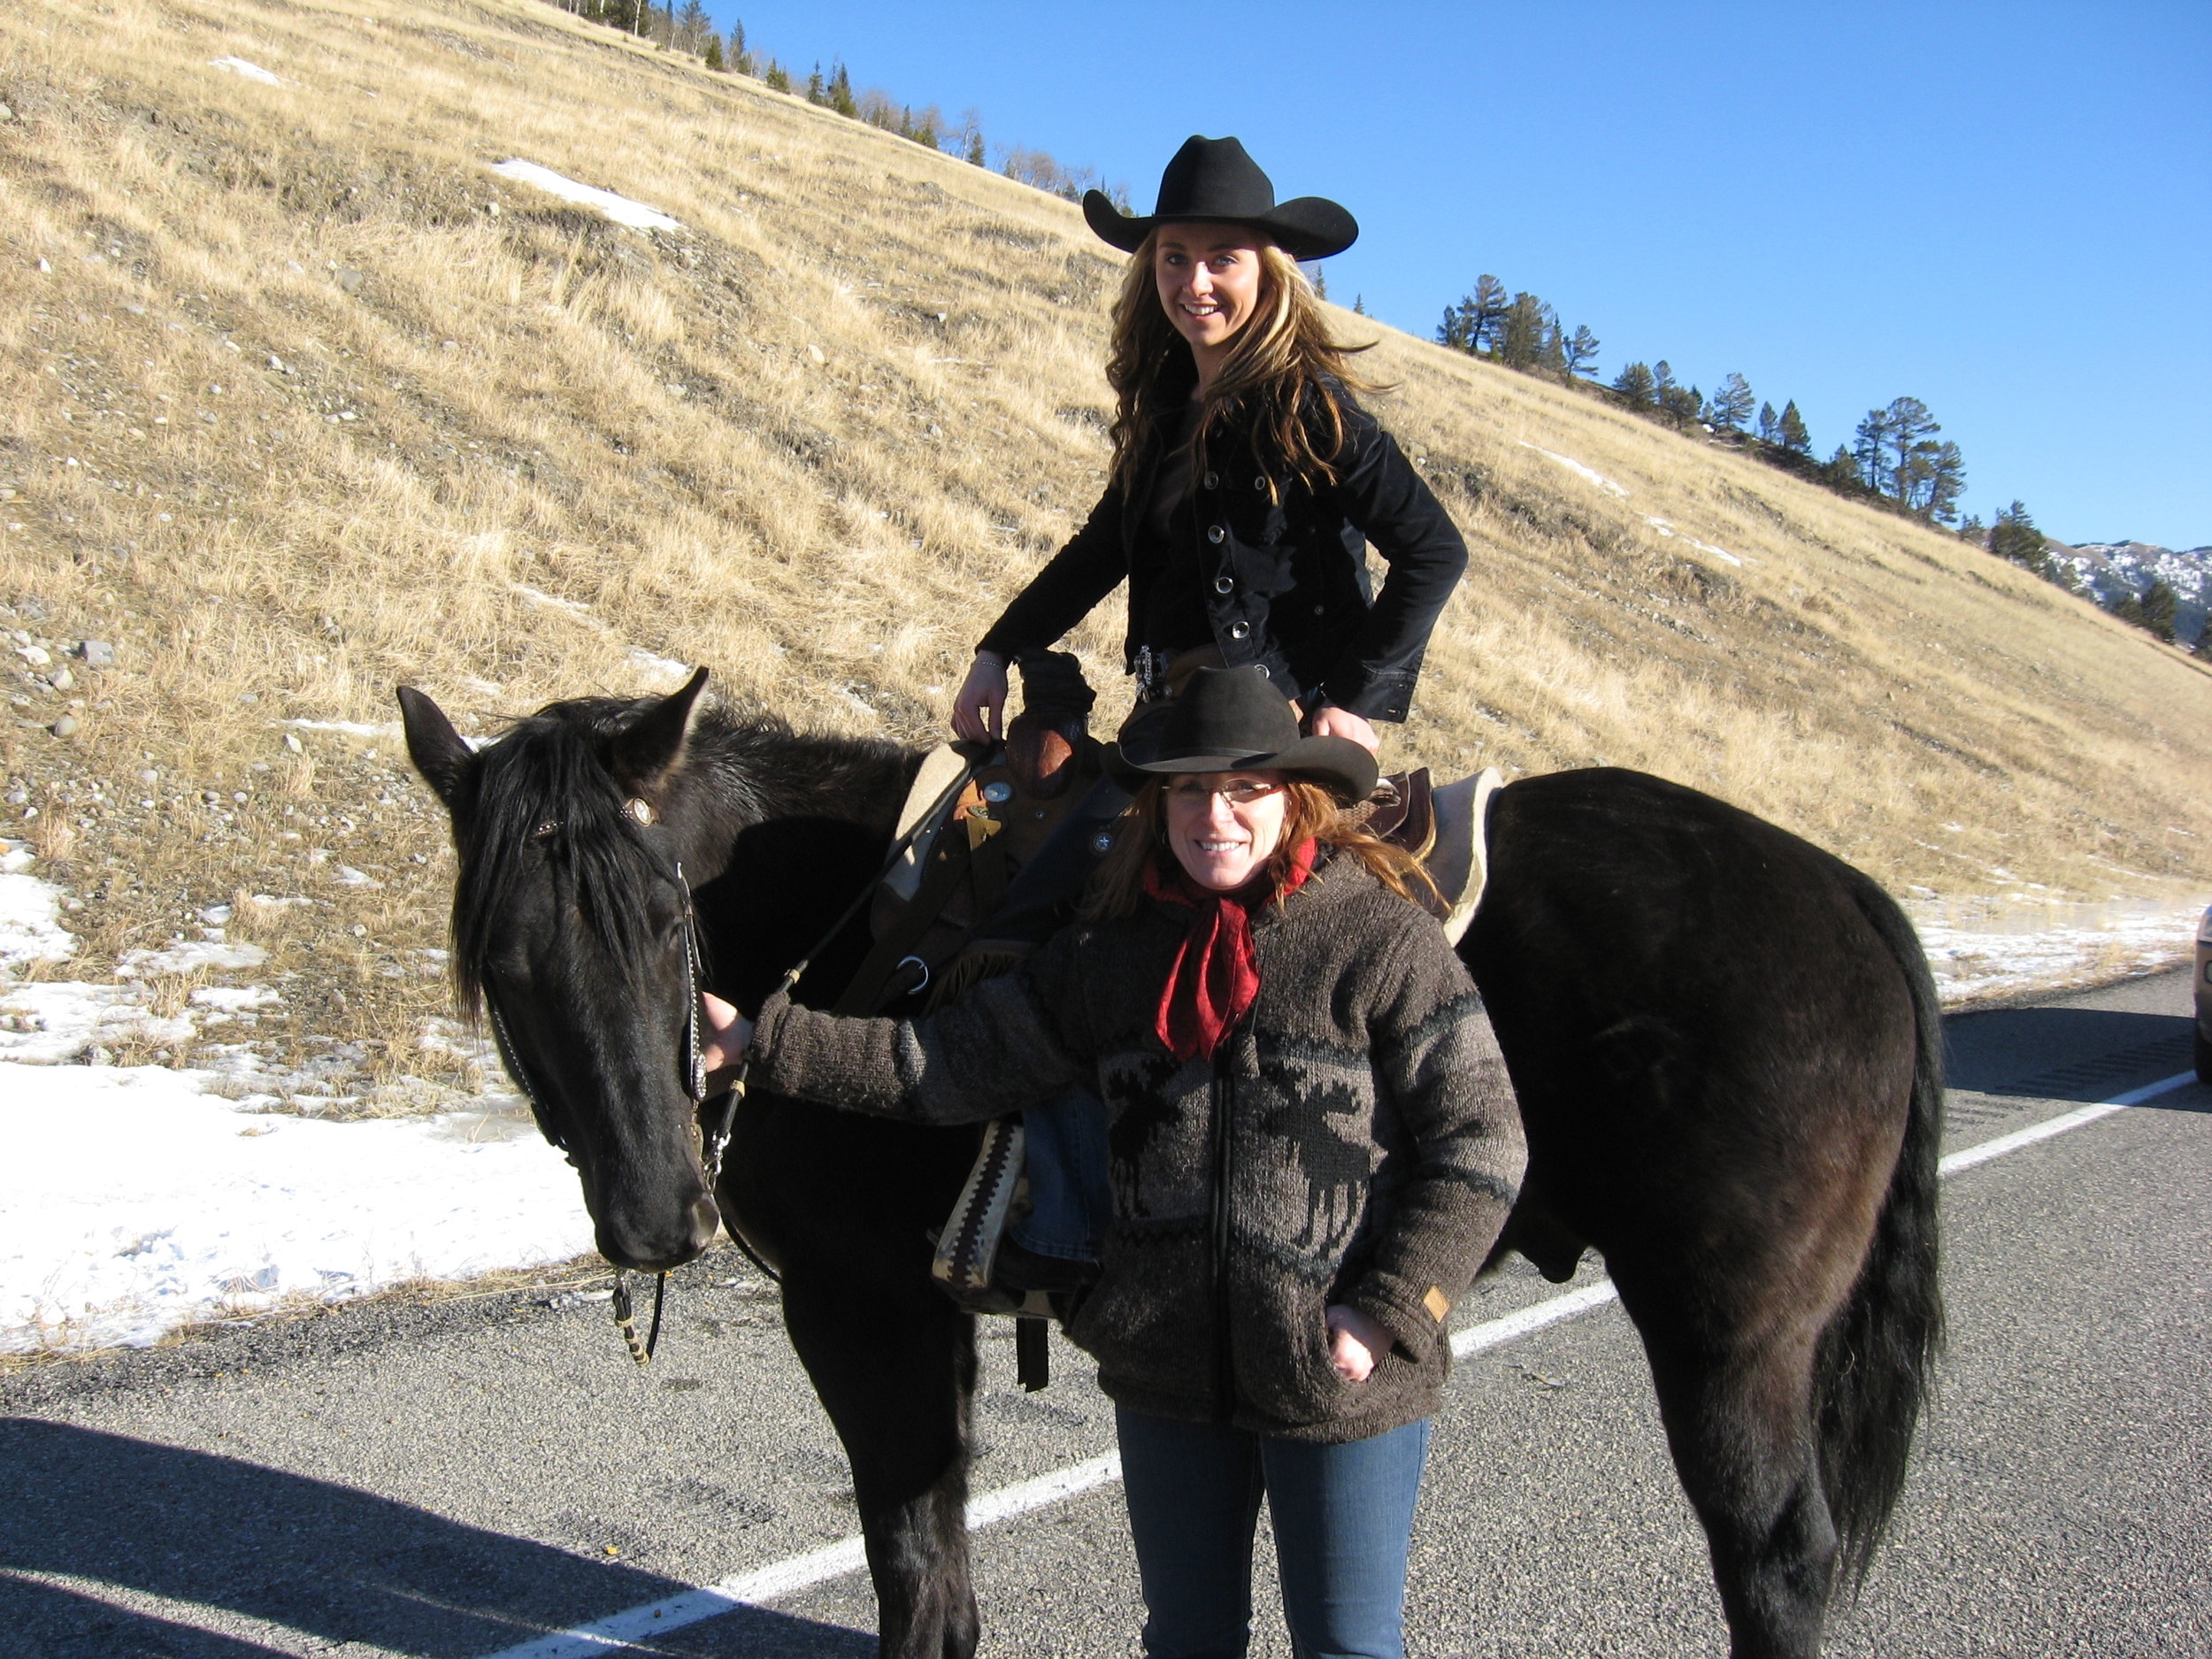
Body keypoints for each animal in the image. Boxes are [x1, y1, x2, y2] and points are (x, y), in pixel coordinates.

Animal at [397, 667, 1941, 1659]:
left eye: (669, 920)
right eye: (506, 965)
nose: (658, 1214)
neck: (843, 932)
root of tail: (1849, 889)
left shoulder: (858, 1309)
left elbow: (913, 1569)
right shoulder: (928, 1312)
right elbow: (941, 1568)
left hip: (1732, 1341)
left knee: (1774, 1562)